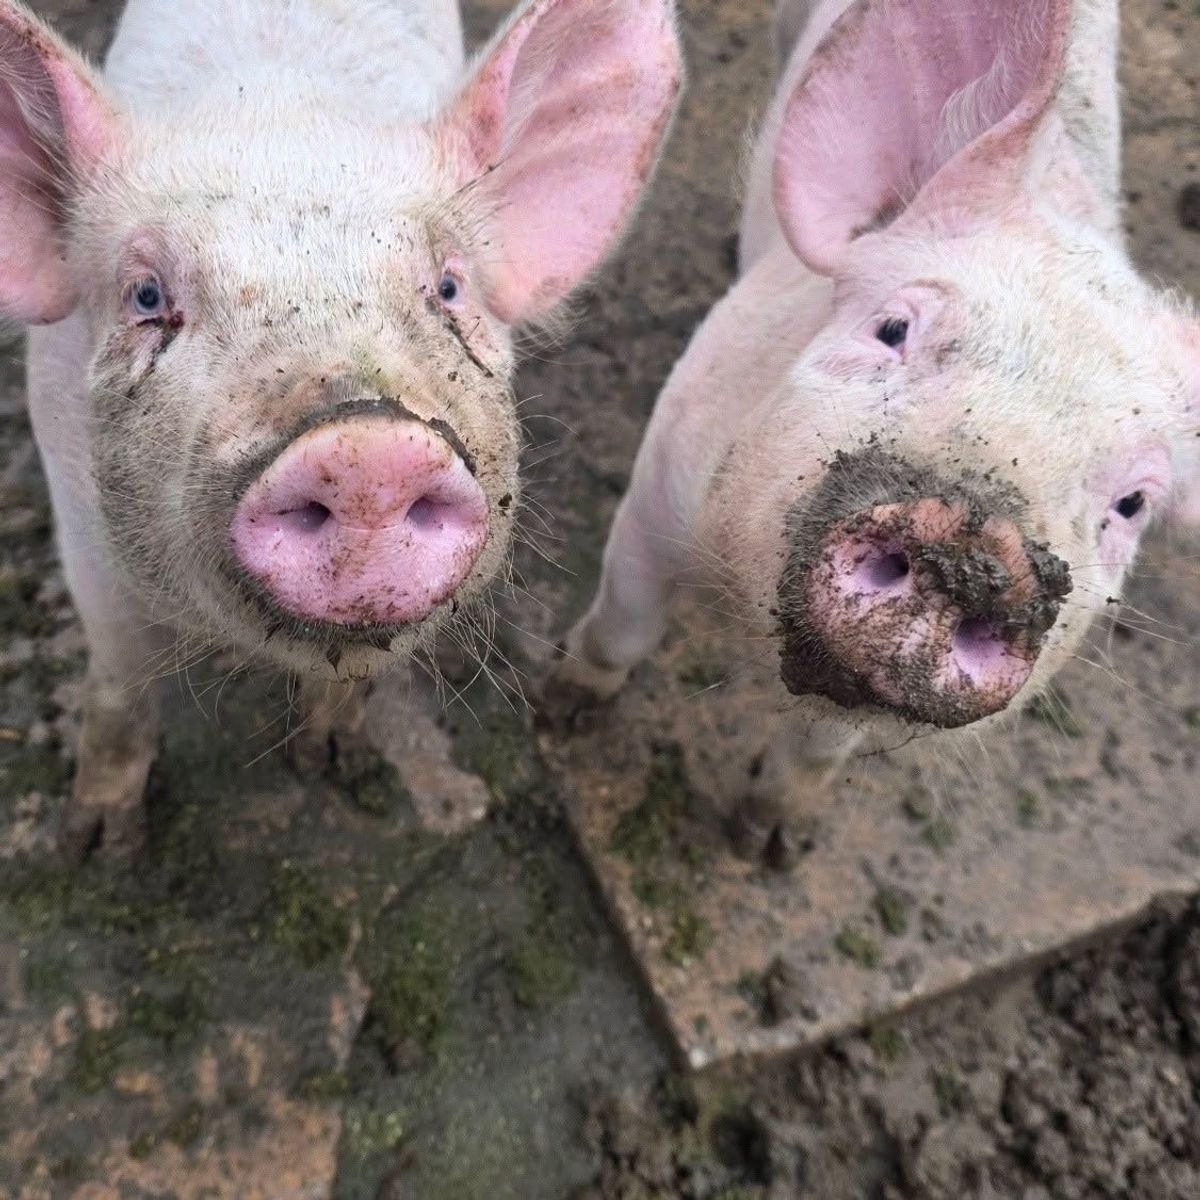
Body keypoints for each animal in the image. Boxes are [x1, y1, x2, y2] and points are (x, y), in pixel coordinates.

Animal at [0, 0, 682, 859]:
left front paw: (337, 764)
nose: (366, 455)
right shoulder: (75, 513)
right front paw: (97, 844)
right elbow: (119, 670)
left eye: (449, 287)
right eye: (146, 297)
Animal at [552, 0, 1200, 862]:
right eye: (893, 327)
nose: (980, 547)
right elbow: (624, 625)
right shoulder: (659, 480)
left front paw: (769, 846)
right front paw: (560, 711)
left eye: (1132, 504)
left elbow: (822, 749)